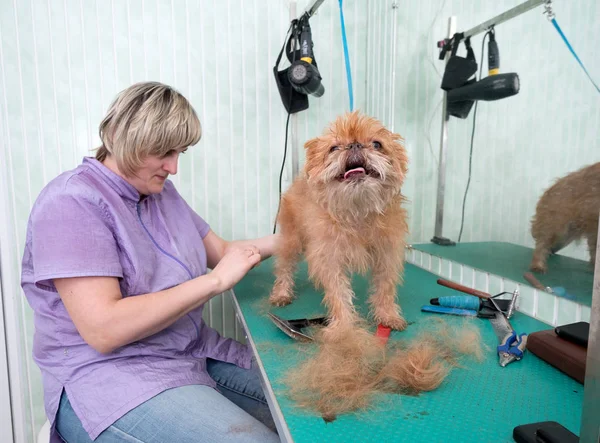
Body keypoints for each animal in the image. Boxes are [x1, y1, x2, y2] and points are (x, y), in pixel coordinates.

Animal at [270, 112, 408, 334]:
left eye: (377, 144)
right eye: (334, 148)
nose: (354, 145)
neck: (358, 212)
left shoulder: (387, 254)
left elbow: (385, 286)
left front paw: (387, 315)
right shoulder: (329, 258)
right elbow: (338, 292)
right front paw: (344, 326)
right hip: (291, 241)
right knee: (284, 266)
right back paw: (282, 293)